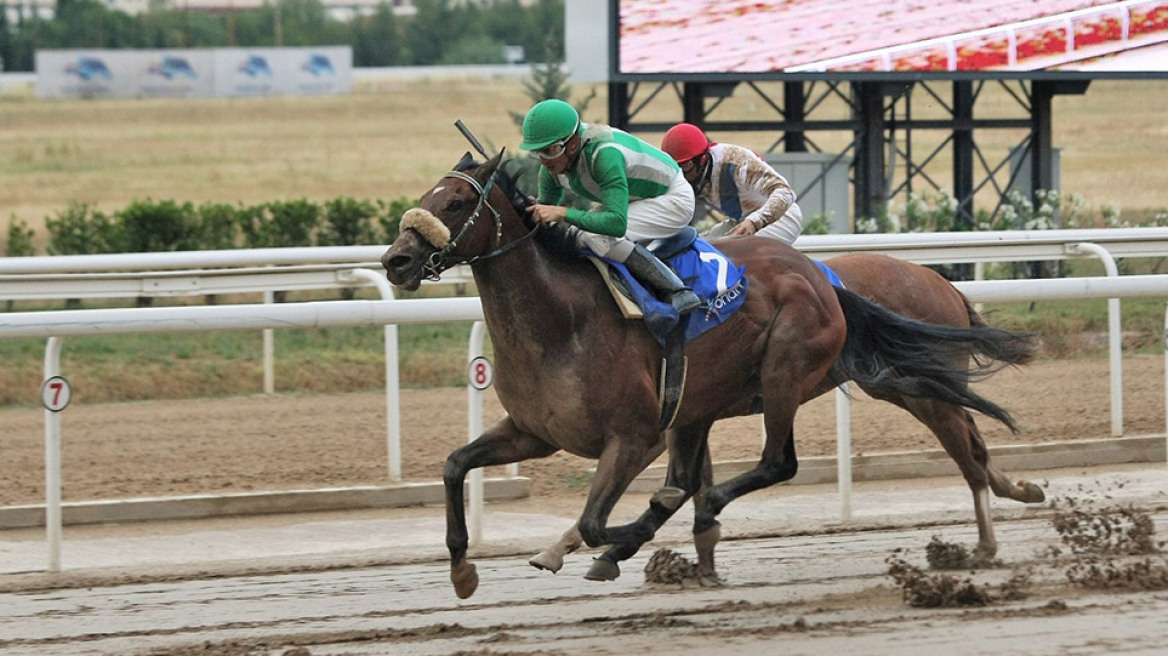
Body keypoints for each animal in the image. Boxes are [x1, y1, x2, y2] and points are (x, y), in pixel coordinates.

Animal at [378, 150, 1037, 595]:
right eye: (427, 194)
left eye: (456, 202)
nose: (396, 259)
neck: (563, 321)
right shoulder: (537, 432)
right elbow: (454, 465)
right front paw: (463, 569)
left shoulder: (638, 435)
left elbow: (600, 520)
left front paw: (615, 543)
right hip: (886, 382)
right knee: (969, 448)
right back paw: (1013, 498)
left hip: (795, 372)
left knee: (788, 461)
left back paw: (987, 536)